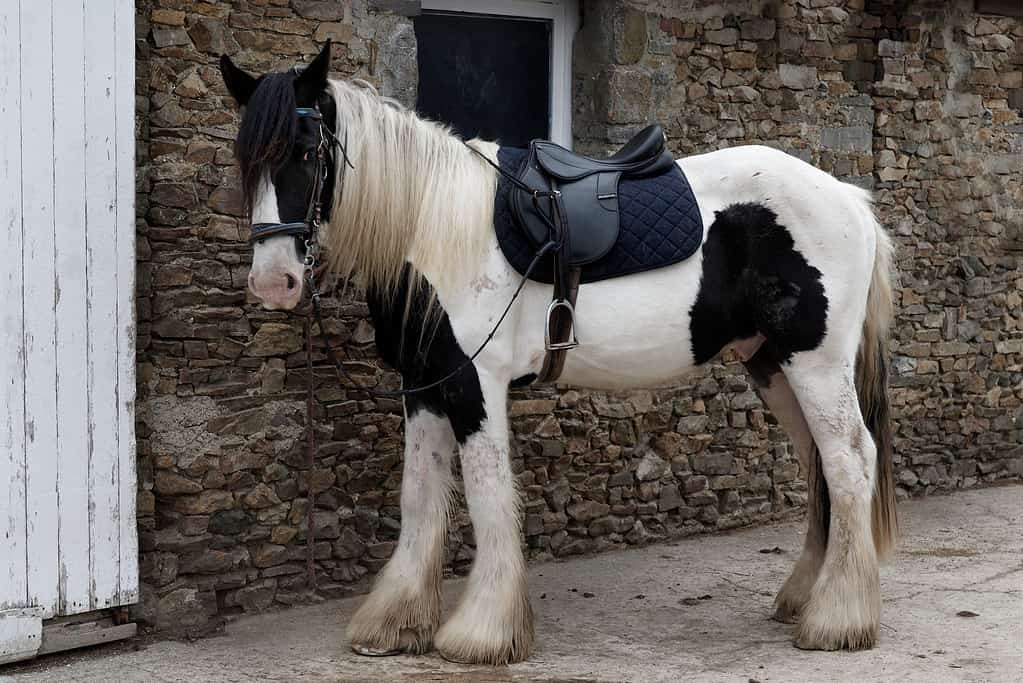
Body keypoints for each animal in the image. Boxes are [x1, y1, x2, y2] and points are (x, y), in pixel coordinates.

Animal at [215, 40, 896, 662]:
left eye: (307, 151)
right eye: (245, 158)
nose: (274, 282)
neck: (434, 224)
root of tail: (850, 201)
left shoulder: (474, 381)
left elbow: (488, 492)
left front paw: (483, 632)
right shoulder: (424, 384)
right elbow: (421, 494)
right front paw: (395, 623)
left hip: (816, 365)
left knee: (849, 460)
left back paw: (836, 620)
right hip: (773, 365)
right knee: (820, 463)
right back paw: (805, 598)